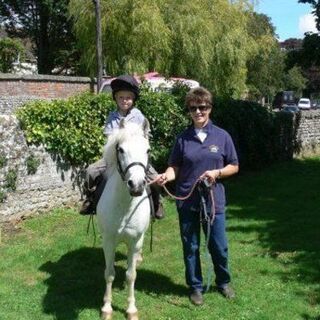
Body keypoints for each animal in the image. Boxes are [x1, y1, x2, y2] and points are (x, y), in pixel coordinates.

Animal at [97, 119, 152, 318]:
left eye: (148, 150)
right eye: (120, 149)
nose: (136, 185)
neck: (125, 207)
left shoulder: (134, 241)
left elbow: (131, 275)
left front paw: (131, 309)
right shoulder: (108, 241)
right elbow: (109, 273)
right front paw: (106, 308)